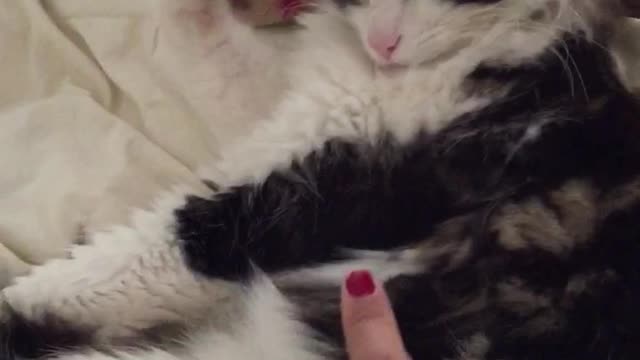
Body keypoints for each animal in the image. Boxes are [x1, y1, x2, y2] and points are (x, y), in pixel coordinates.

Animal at [1, 0, 640, 358]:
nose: (384, 42)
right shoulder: (297, 114)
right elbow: (228, 66)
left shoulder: (309, 200)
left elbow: (116, 264)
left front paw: (19, 301)